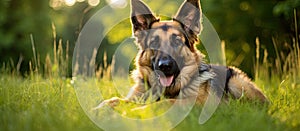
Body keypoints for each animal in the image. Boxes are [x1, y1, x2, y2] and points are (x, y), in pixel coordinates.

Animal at [94, 0, 268, 108]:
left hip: (235, 82)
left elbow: (162, 103)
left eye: (177, 42)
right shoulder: (133, 97)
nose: (164, 66)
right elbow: (115, 100)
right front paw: (98, 109)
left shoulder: (193, 103)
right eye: (154, 43)